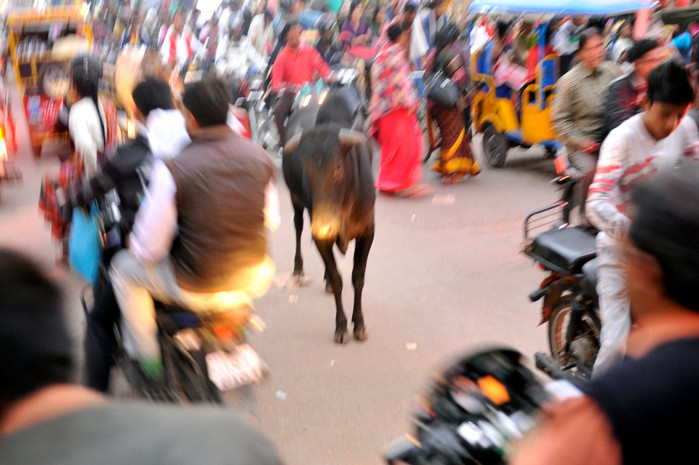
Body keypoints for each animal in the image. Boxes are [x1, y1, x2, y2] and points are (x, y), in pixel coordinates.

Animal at [284, 121, 378, 342]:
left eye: (338, 166)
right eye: (306, 170)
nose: (323, 225)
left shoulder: (367, 232)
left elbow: (358, 278)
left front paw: (359, 324)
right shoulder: (319, 237)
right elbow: (337, 280)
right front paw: (341, 326)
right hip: (296, 201)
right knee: (298, 225)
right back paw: (298, 268)